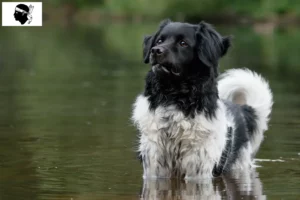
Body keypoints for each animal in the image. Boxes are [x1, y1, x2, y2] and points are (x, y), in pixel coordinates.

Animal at [131, 18, 272, 180]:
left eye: (183, 43)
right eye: (159, 40)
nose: (155, 50)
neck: (175, 98)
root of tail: (242, 108)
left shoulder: (199, 165)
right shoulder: (155, 162)